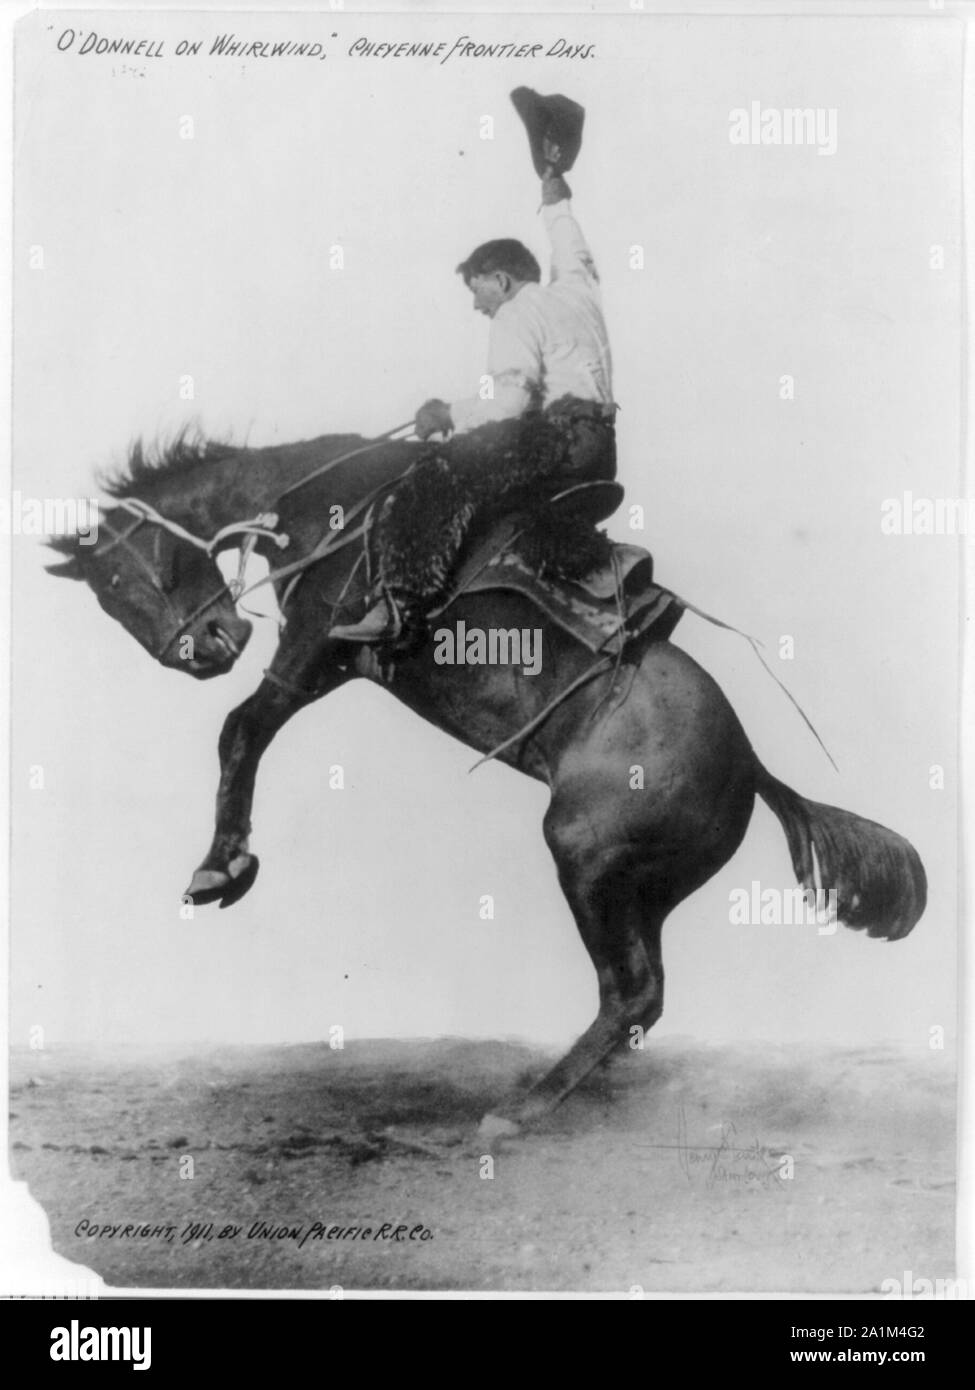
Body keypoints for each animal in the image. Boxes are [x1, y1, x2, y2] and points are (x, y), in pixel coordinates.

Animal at [47, 430, 929, 1128]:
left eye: (119, 583)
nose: (206, 650)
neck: (333, 505)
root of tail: (751, 768)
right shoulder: (332, 663)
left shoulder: (312, 646)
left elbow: (241, 729)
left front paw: (219, 869)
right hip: (642, 886)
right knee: (642, 997)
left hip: (584, 856)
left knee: (629, 992)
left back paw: (519, 1111)